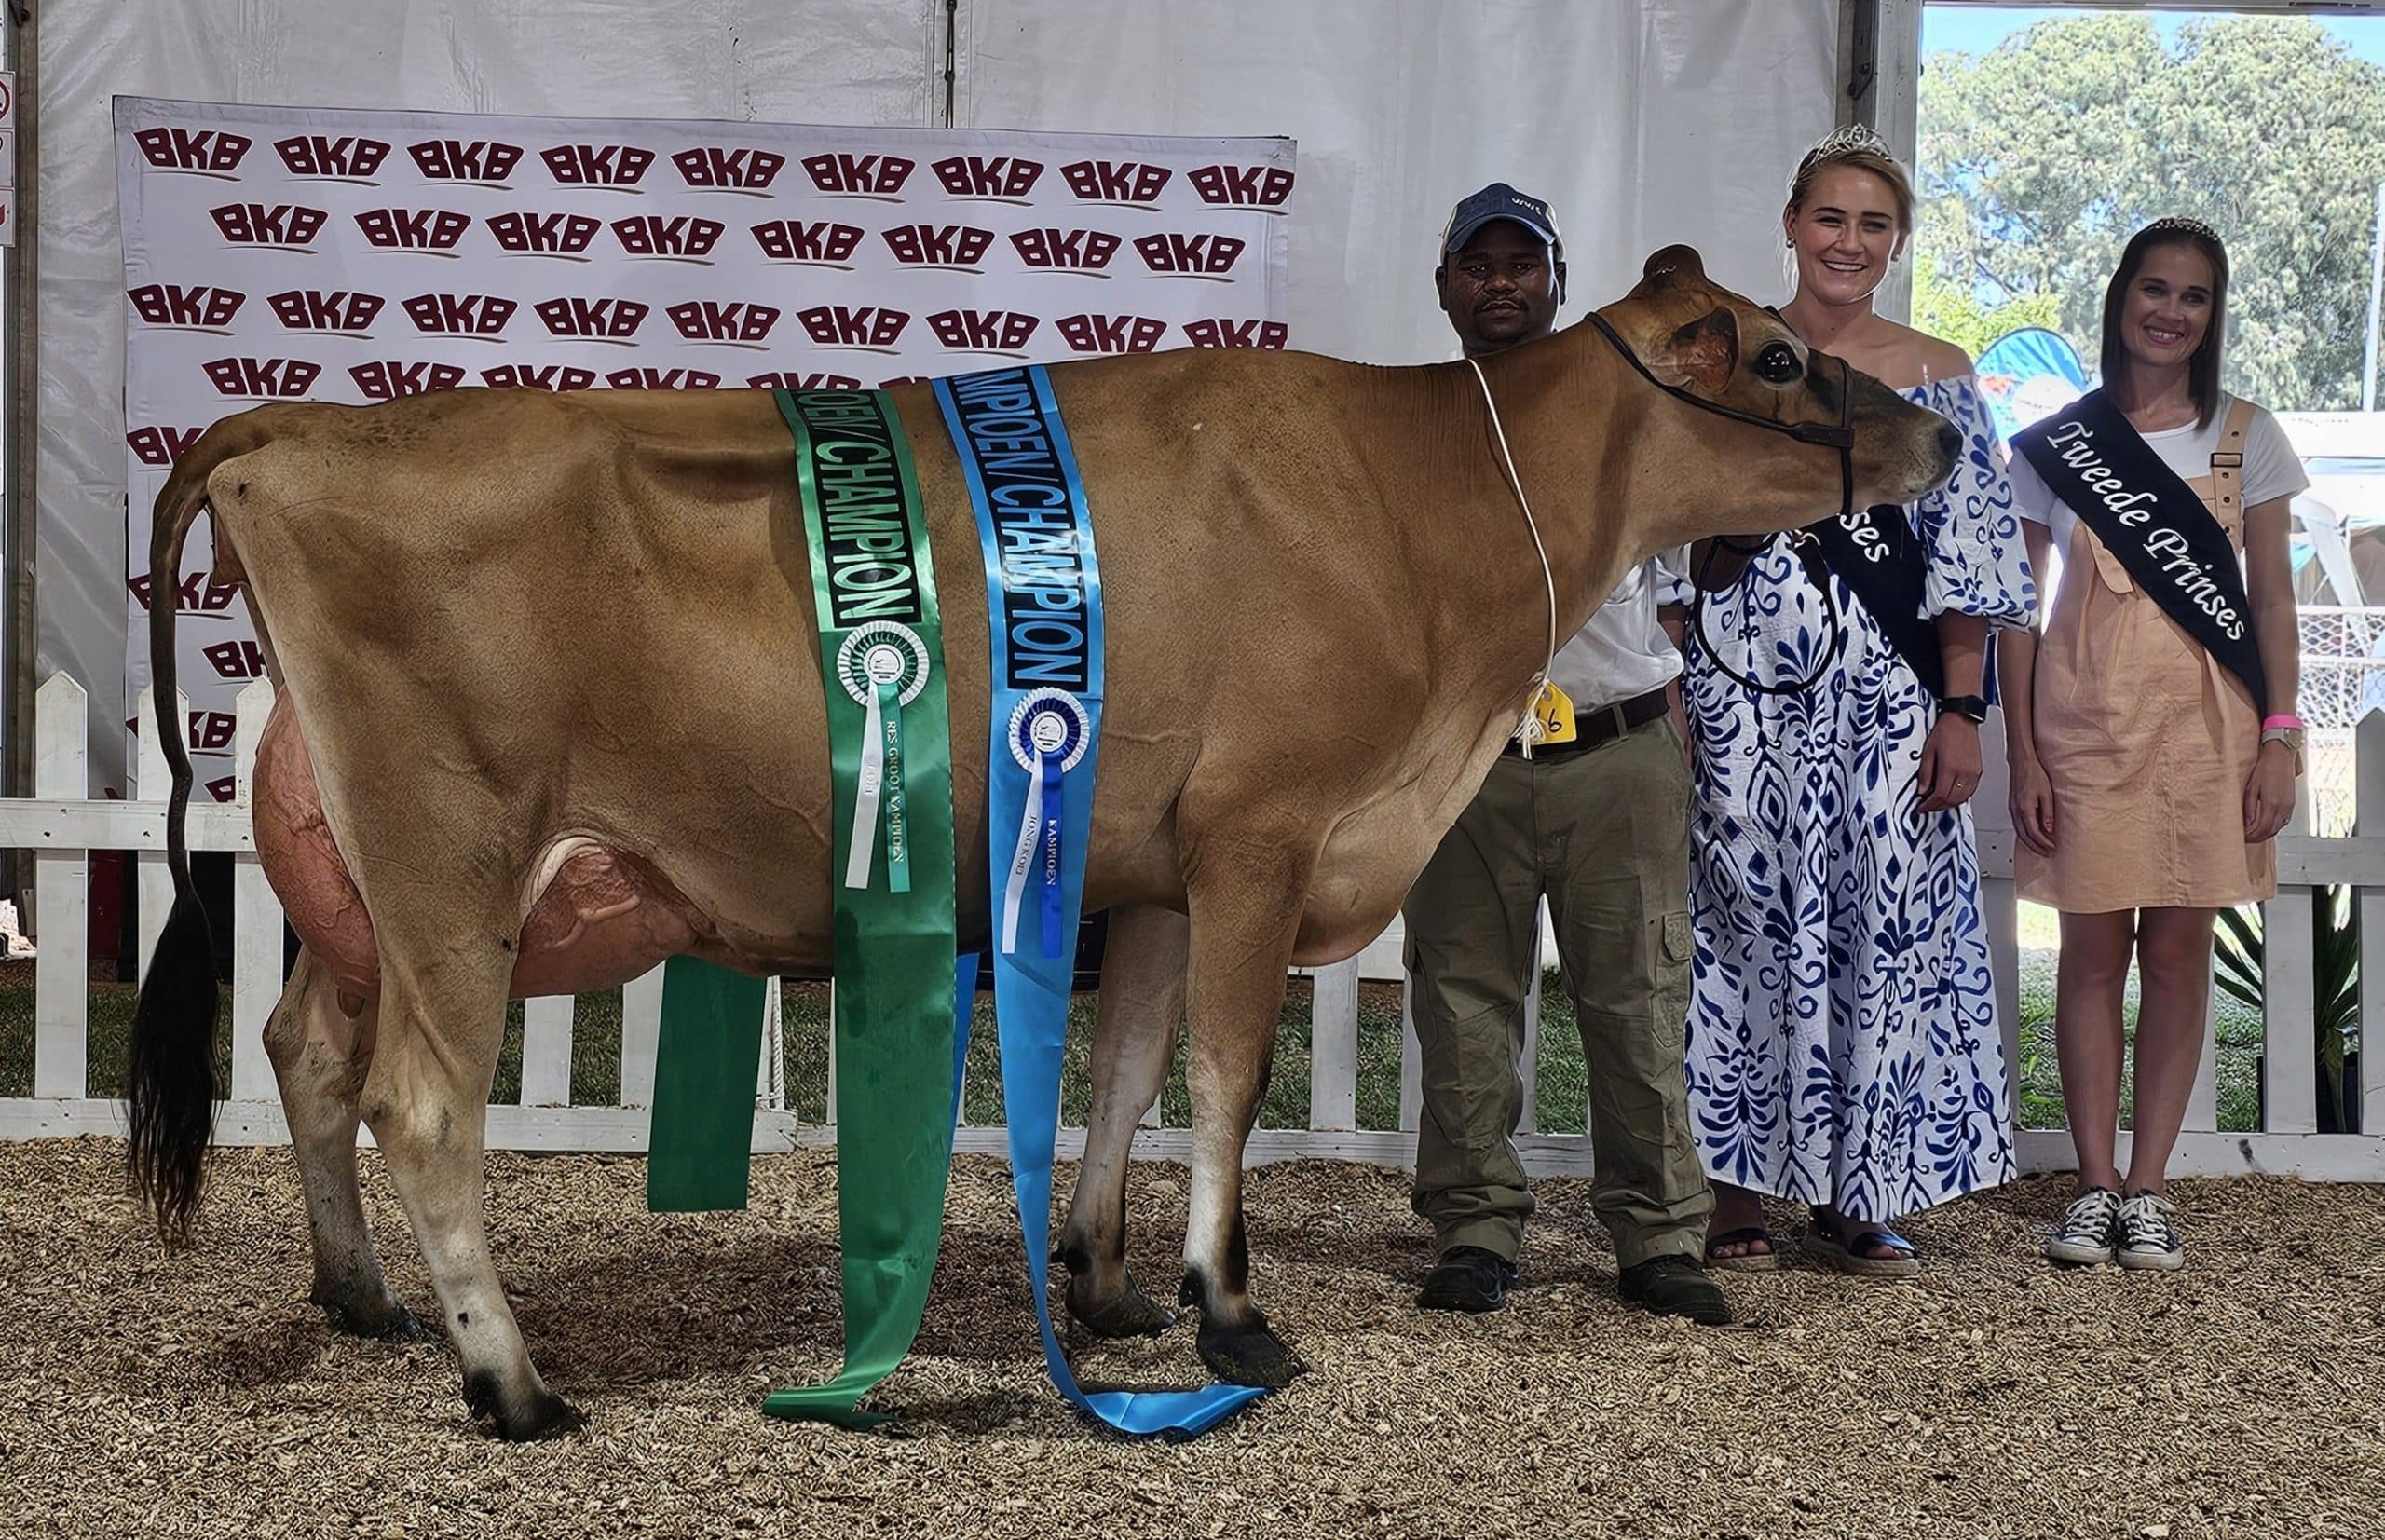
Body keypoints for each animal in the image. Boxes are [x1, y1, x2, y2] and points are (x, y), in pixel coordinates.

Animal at [126, 248, 1956, 1439]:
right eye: (1777, 357)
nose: (1941, 427)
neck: (1420, 510)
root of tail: (299, 425)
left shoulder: (1148, 862)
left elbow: (1132, 1069)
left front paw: (1110, 1281)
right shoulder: (1261, 830)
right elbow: (1224, 1073)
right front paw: (1234, 1310)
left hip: (362, 880)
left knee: (301, 1047)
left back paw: (361, 1297)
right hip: (453, 856)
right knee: (419, 1104)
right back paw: (510, 1382)